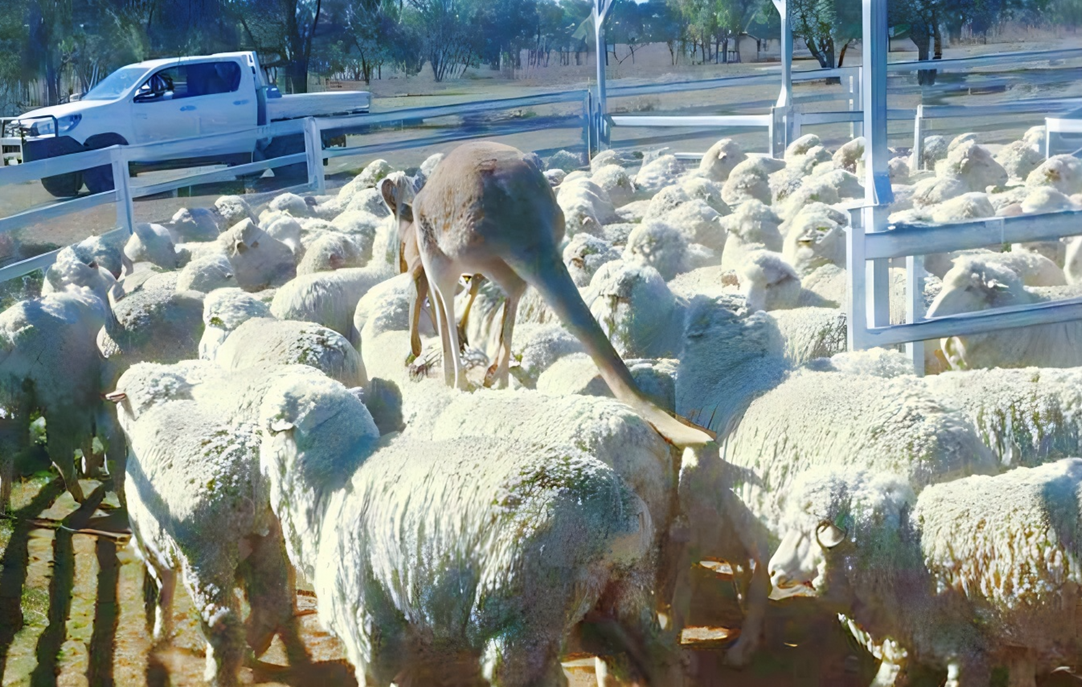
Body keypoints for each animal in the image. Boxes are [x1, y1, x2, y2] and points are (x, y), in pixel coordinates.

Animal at [256, 376, 679, 687]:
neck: (335, 477)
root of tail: (619, 510)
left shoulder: (370, 627)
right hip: (620, 599)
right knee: (657, 660)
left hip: (526, 612)